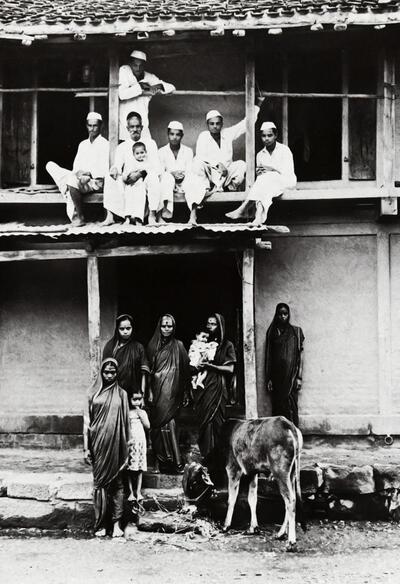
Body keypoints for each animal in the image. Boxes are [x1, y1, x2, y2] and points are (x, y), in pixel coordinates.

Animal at [223, 416, 304, 548]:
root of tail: (287, 424)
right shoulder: (253, 472)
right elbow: (252, 499)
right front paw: (253, 528)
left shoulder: (233, 468)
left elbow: (231, 499)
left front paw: (226, 525)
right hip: (291, 474)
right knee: (291, 500)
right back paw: (281, 534)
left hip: (280, 472)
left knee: (290, 500)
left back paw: (291, 541)